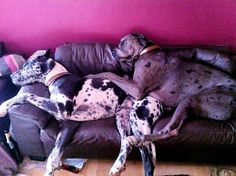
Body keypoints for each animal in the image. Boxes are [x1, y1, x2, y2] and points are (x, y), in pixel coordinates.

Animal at [0, 50, 162, 175]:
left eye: (26, 65)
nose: (10, 76)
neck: (58, 77)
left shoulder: (62, 111)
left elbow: (27, 95)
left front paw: (3, 107)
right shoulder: (68, 124)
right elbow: (54, 156)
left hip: (138, 120)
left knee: (148, 159)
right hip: (123, 119)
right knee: (126, 143)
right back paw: (117, 166)